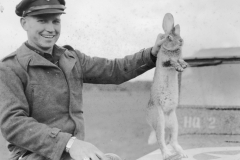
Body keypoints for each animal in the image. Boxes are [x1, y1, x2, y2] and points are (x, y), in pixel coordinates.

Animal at [146, 12, 188, 160]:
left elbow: (180, 60)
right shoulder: (165, 61)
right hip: (160, 120)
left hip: (175, 124)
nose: (181, 41)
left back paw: (182, 154)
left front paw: (184, 65)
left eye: (179, 35)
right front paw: (179, 67)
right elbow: (172, 62)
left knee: (172, 140)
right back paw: (167, 155)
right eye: (169, 37)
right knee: (162, 141)